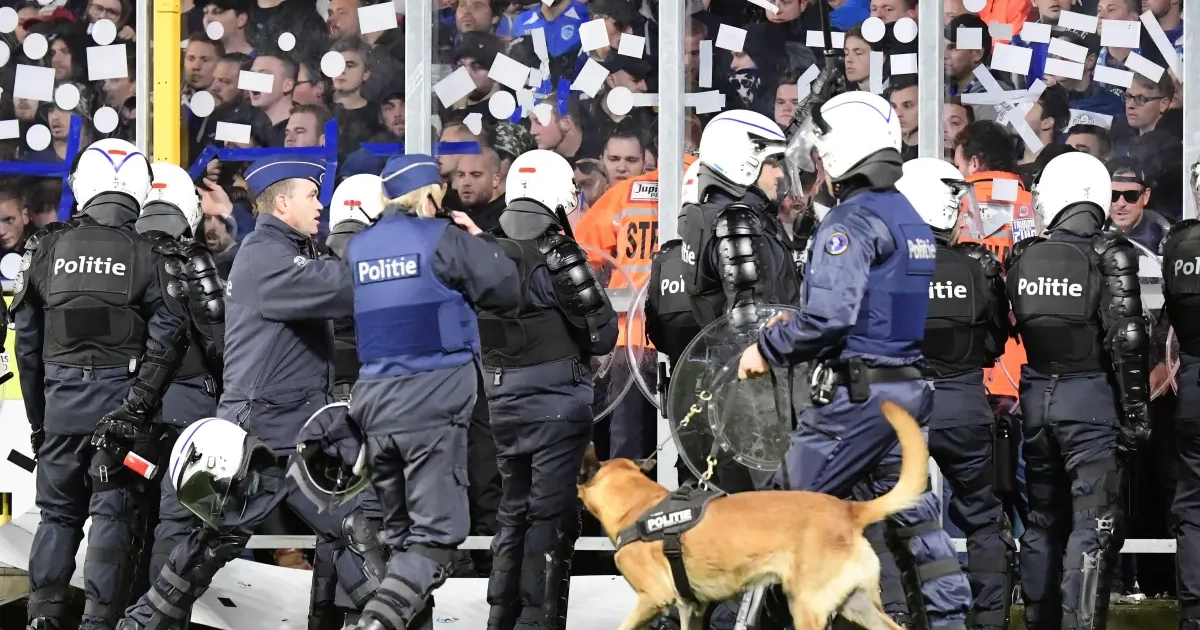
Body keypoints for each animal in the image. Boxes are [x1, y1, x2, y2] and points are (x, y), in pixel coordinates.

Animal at [577, 400, 928, 630]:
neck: (637, 505)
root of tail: (849, 510)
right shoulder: (693, 608)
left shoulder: (653, 598)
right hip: (858, 605)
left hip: (807, 609)